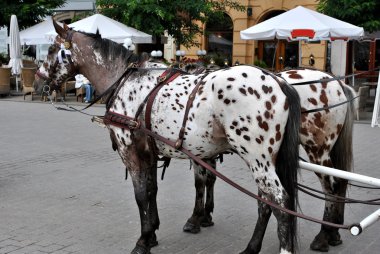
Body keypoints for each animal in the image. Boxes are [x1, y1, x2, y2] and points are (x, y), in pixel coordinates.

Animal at [42, 20, 302, 254]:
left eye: (52, 49)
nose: (41, 79)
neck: (125, 80)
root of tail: (278, 81)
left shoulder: (131, 152)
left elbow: (140, 195)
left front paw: (143, 241)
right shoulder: (149, 152)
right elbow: (151, 190)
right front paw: (152, 234)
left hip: (258, 160)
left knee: (280, 202)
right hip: (266, 161)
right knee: (265, 203)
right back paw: (250, 247)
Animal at [187, 67, 356, 252]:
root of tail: (338, 83)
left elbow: (200, 182)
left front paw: (195, 218)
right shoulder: (207, 152)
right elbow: (209, 180)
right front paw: (205, 215)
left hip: (317, 151)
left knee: (330, 188)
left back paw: (323, 235)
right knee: (341, 181)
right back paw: (334, 233)